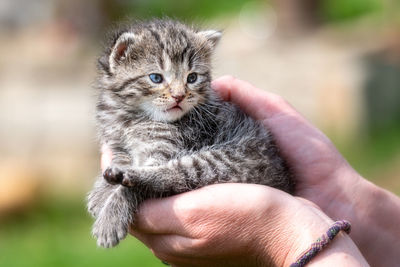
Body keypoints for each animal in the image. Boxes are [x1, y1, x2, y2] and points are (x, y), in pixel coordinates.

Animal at [86, 18, 294, 249]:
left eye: (192, 77)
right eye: (156, 78)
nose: (179, 96)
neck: (134, 117)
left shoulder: (166, 147)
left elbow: (133, 186)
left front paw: (111, 216)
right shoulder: (117, 142)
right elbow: (120, 158)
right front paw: (101, 191)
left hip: (226, 160)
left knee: (174, 175)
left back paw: (126, 177)